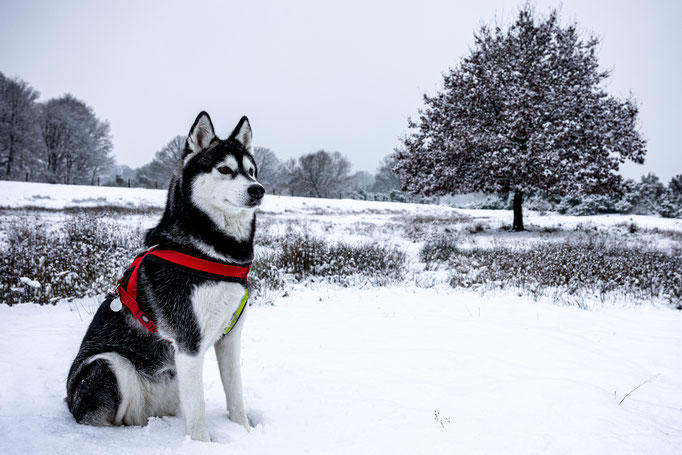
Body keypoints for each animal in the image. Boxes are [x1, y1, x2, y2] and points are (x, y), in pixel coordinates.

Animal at [65, 111, 262, 442]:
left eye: (251, 171)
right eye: (224, 169)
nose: (258, 190)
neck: (213, 253)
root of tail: (68, 402)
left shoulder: (229, 338)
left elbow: (236, 395)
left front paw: (245, 432)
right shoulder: (188, 342)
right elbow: (198, 409)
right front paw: (202, 444)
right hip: (107, 363)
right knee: (99, 417)